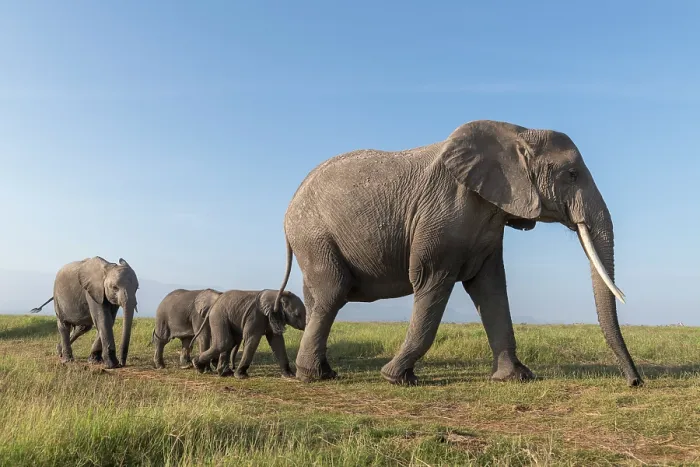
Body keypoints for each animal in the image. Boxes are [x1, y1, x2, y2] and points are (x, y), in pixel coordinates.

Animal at [273, 119, 643, 387]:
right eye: (572, 174)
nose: (635, 382)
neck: (516, 132)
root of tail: (289, 207)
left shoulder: (491, 218)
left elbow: (490, 287)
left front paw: (515, 378)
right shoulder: (442, 213)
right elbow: (431, 280)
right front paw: (396, 379)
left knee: (319, 297)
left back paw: (323, 373)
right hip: (315, 235)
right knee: (332, 293)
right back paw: (312, 377)